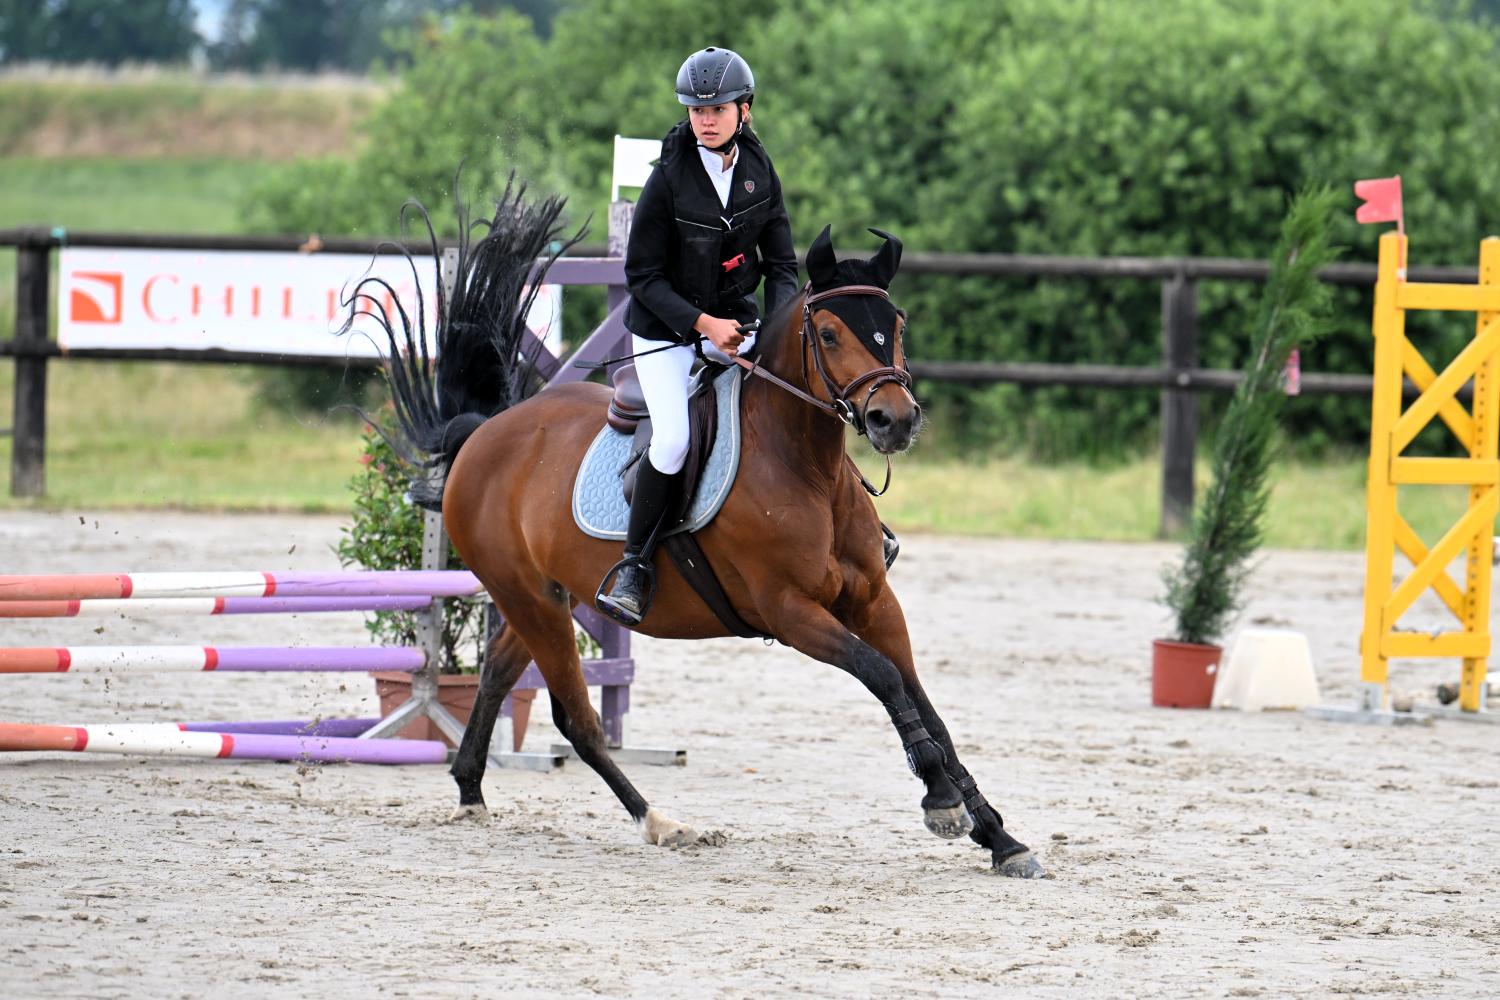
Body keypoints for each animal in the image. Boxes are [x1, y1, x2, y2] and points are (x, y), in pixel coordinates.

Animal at [354, 179, 1044, 875]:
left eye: (896, 324)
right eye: (827, 333)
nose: (893, 421)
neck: (807, 467)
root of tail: (483, 433)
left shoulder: (875, 602)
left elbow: (922, 700)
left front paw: (998, 836)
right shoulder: (789, 612)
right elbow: (881, 677)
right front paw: (941, 802)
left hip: (547, 596)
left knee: (497, 672)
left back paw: (470, 790)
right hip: (529, 598)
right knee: (577, 721)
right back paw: (660, 821)